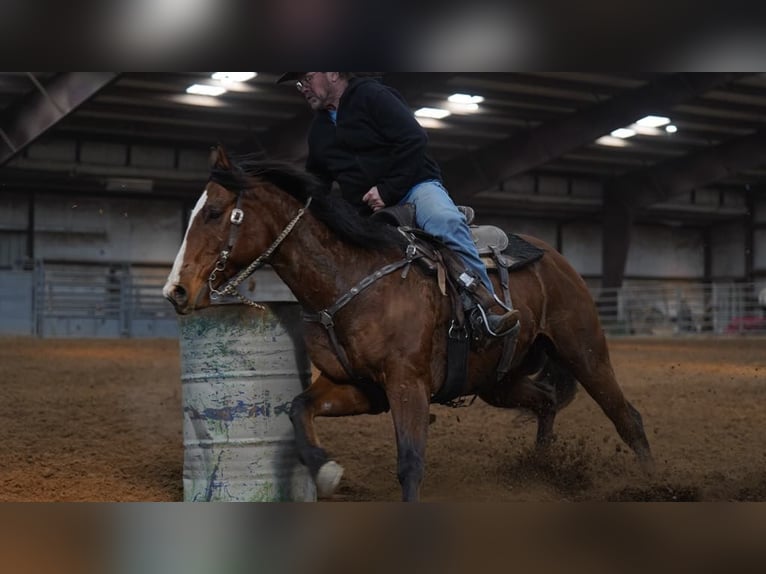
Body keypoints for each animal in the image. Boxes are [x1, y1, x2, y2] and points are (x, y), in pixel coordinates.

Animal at [165, 147, 656, 504]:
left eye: (214, 212)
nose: (177, 290)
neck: (351, 277)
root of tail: (554, 256)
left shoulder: (408, 384)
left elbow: (410, 462)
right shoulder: (360, 387)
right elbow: (298, 409)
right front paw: (326, 471)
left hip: (585, 350)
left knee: (627, 417)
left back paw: (655, 485)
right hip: (501, 380)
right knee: (547, 400)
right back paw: (541, 470)